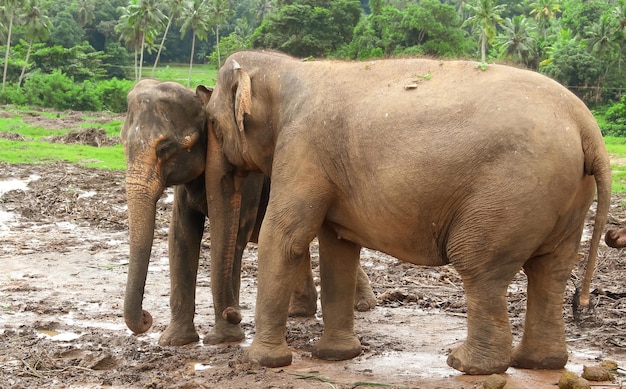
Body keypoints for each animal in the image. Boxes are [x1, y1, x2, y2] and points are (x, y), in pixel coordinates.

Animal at [120, 79, 376, 346]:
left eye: (165, 148)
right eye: (123, 144)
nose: (146, 318)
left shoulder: (249, 181)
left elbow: (231, 239)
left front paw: (223, 338)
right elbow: (181, 238)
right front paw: (175, 341)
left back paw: (363, 305)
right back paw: (300, 312)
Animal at [204, 50, 608, 374]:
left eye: (212, 125)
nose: (229, 320)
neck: (287, 68)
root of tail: (587, 126)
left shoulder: (303, 147)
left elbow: (284, 237)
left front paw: (263, 361)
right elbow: (337, 246)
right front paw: (337, 356)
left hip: (510, 193)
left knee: (479, 267)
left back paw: (466, 365)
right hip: (566, 197)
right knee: (550, 272)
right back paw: (538, 363)